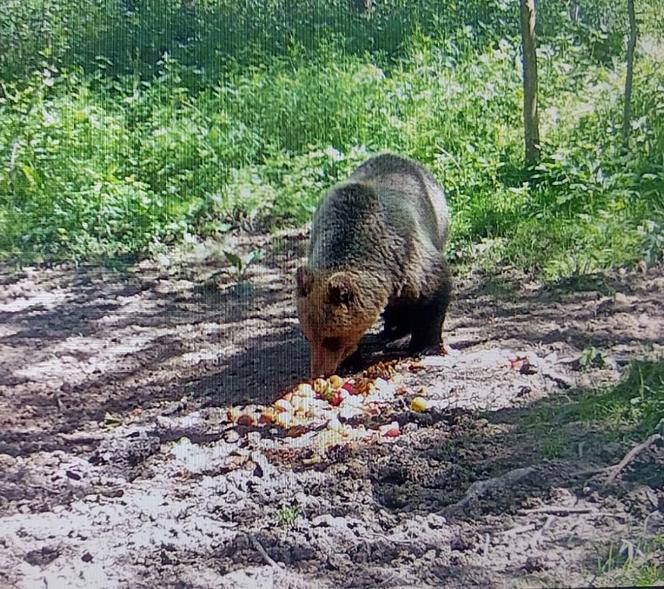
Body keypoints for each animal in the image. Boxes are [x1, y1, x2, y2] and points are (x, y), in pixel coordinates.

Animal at [296, 153, 452, 376]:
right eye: (309, 336)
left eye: (331, 339)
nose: (320, 372)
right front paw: (350, 362)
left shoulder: (409, 258)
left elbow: (434, 294)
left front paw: (424, 345)